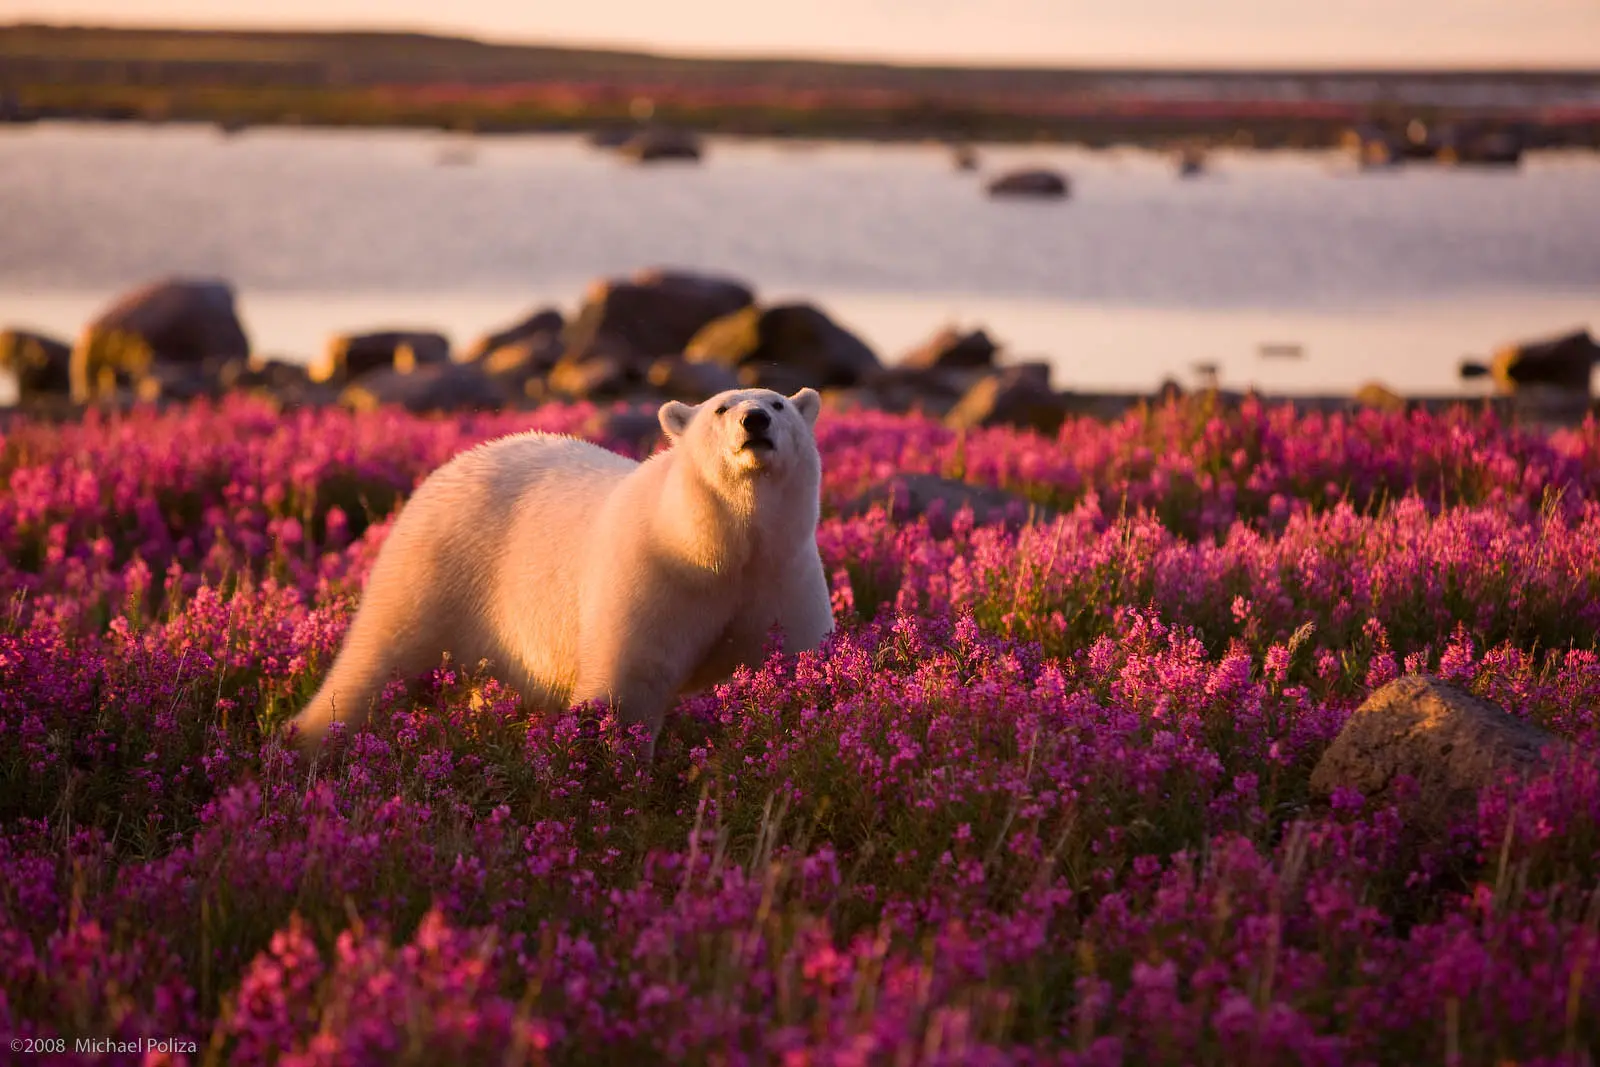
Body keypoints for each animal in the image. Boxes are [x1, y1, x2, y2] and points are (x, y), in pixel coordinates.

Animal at [289, 388, 838, 755]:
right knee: (377, 661)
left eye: (779, 404)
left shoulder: (783, 577)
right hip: (434, 568)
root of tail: (445, 469)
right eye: (721, 408)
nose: (755, 420)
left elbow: (800, 664)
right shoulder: (658, 576)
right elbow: (626, 686)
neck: (719, 545)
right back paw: (309, 739)